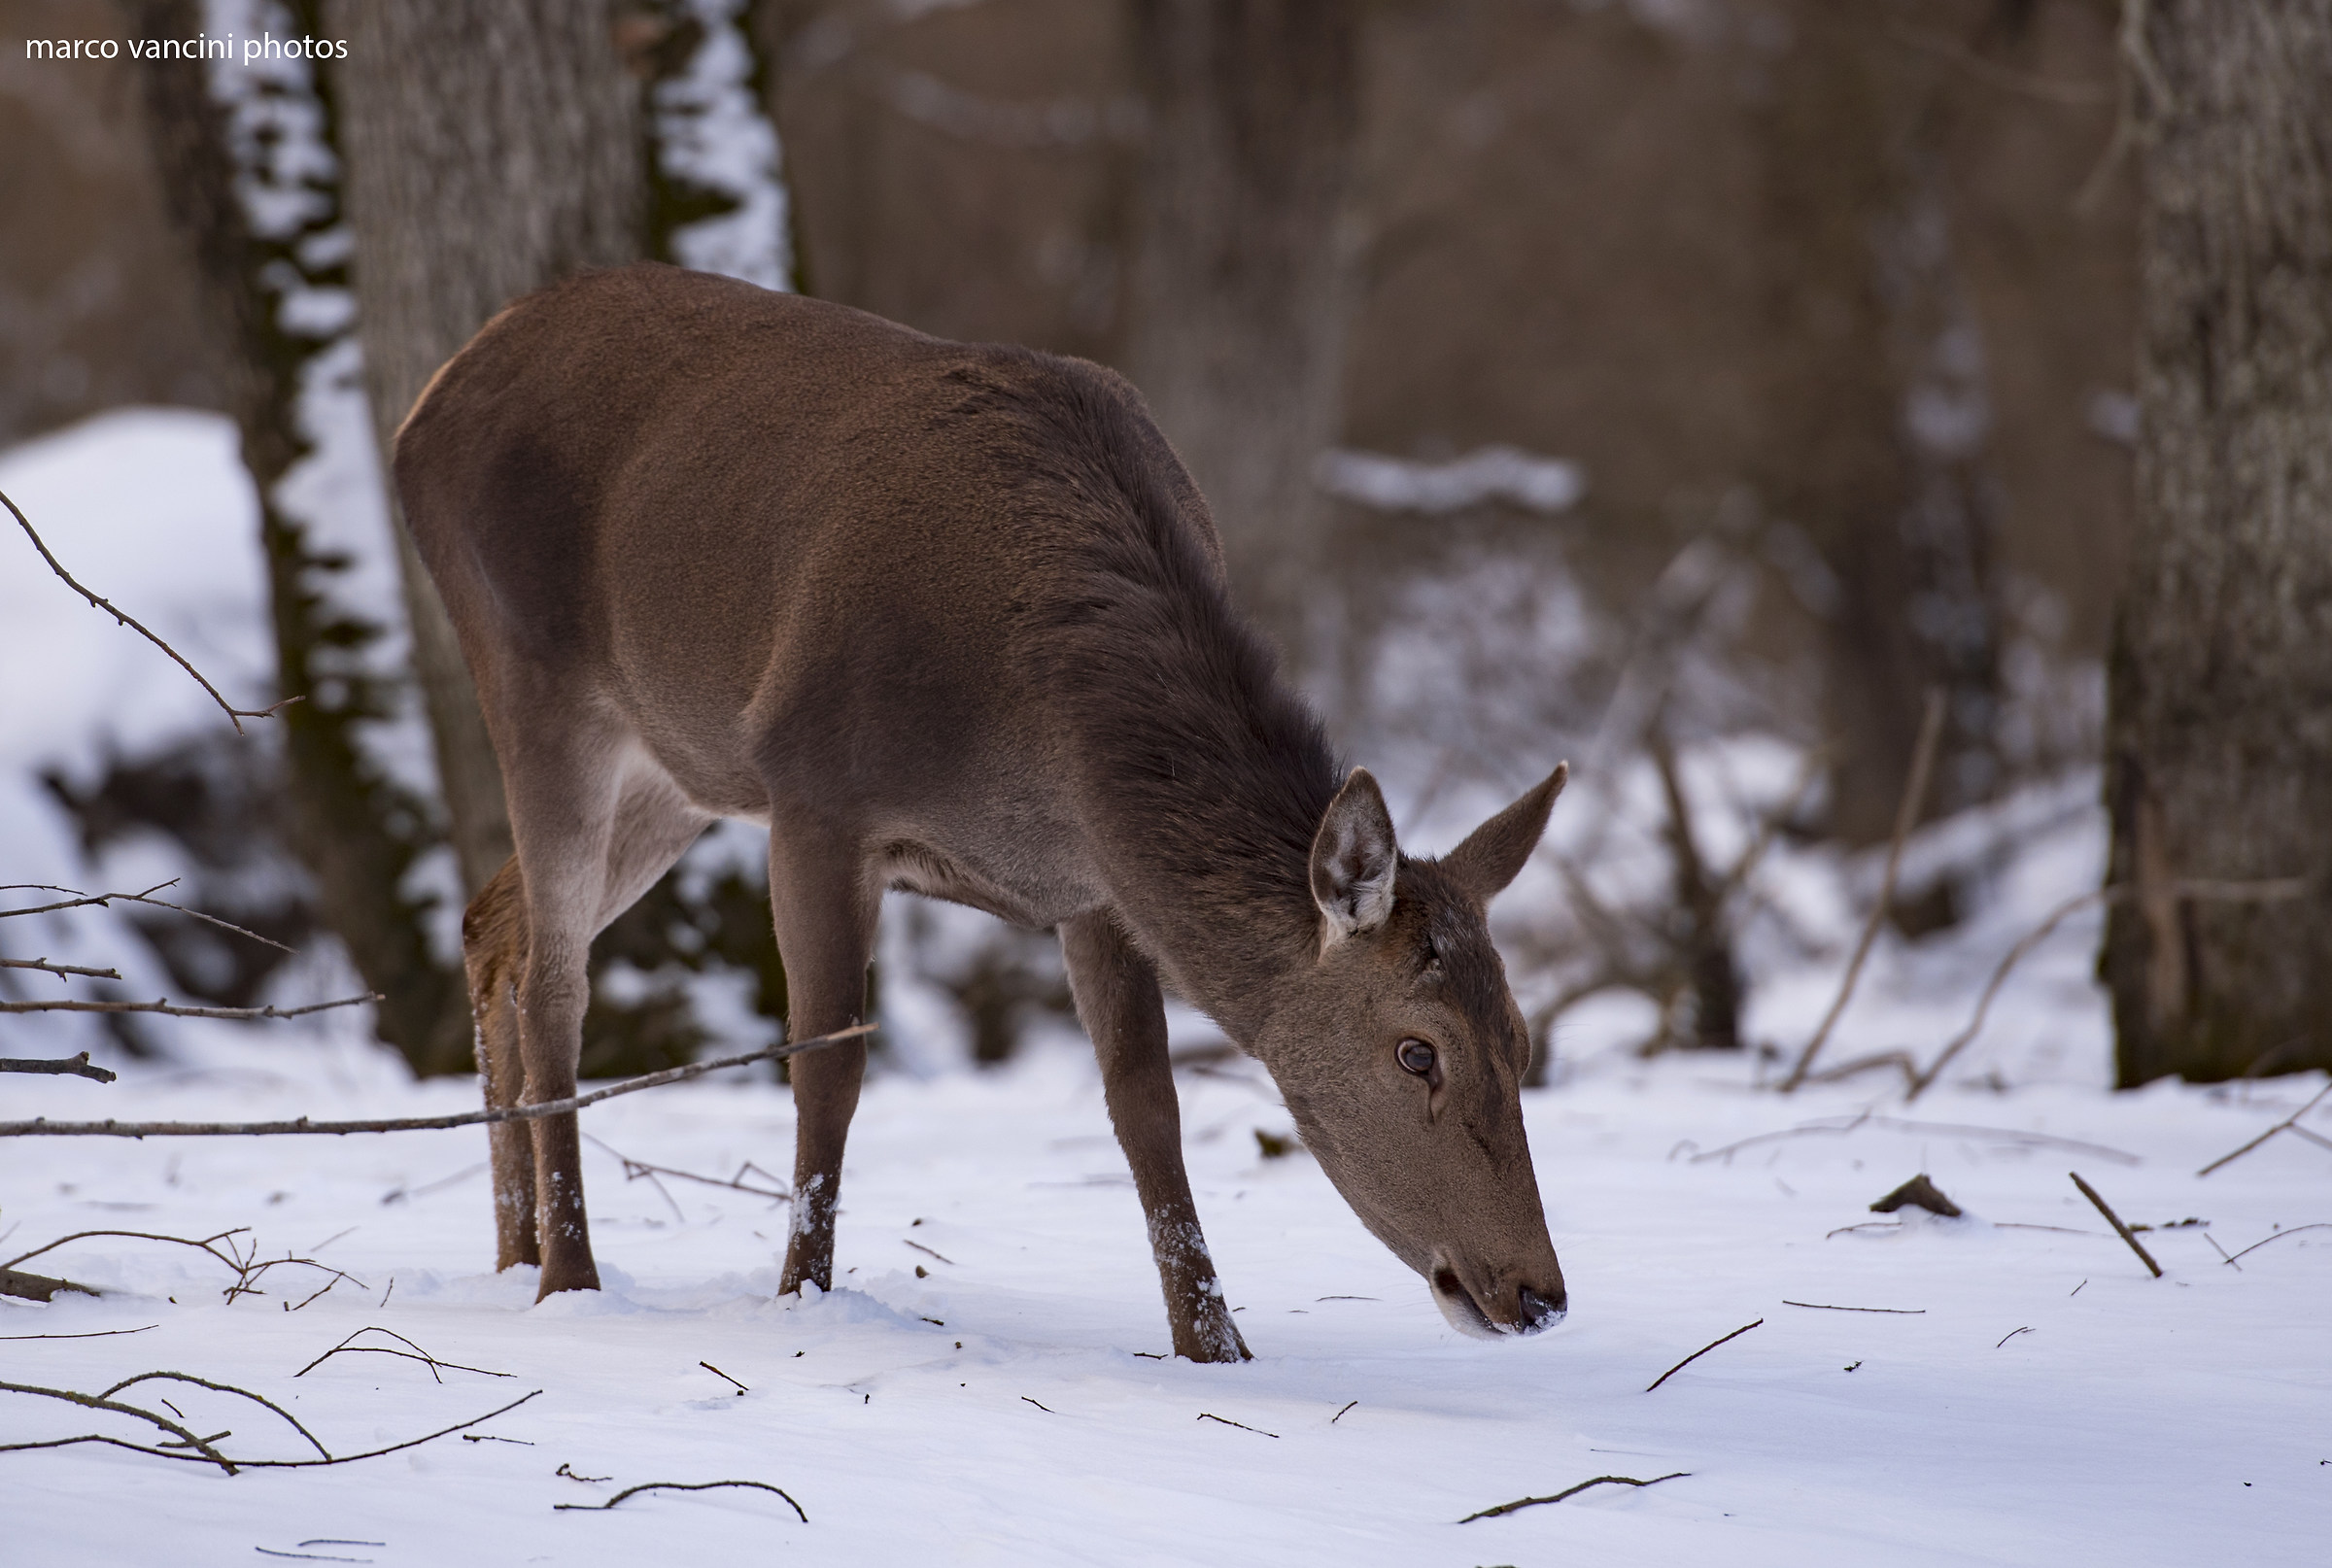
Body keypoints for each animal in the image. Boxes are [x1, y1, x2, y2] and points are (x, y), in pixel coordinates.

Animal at [396, 259, 1566, 1362]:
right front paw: (801, 1301)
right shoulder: (815, 788)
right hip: (538, 673)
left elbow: (1146, 1104)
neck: (1038, 732)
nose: (1540, 1295)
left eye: (1519, 1036)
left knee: (494, 926)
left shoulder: (1092, 880)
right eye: (1417, 1051)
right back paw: (568, 1278)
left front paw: (1214, 1345)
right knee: (558, 982)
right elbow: (829, 1065)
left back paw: (512, 1255)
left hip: (678, 763)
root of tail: (428, 401)